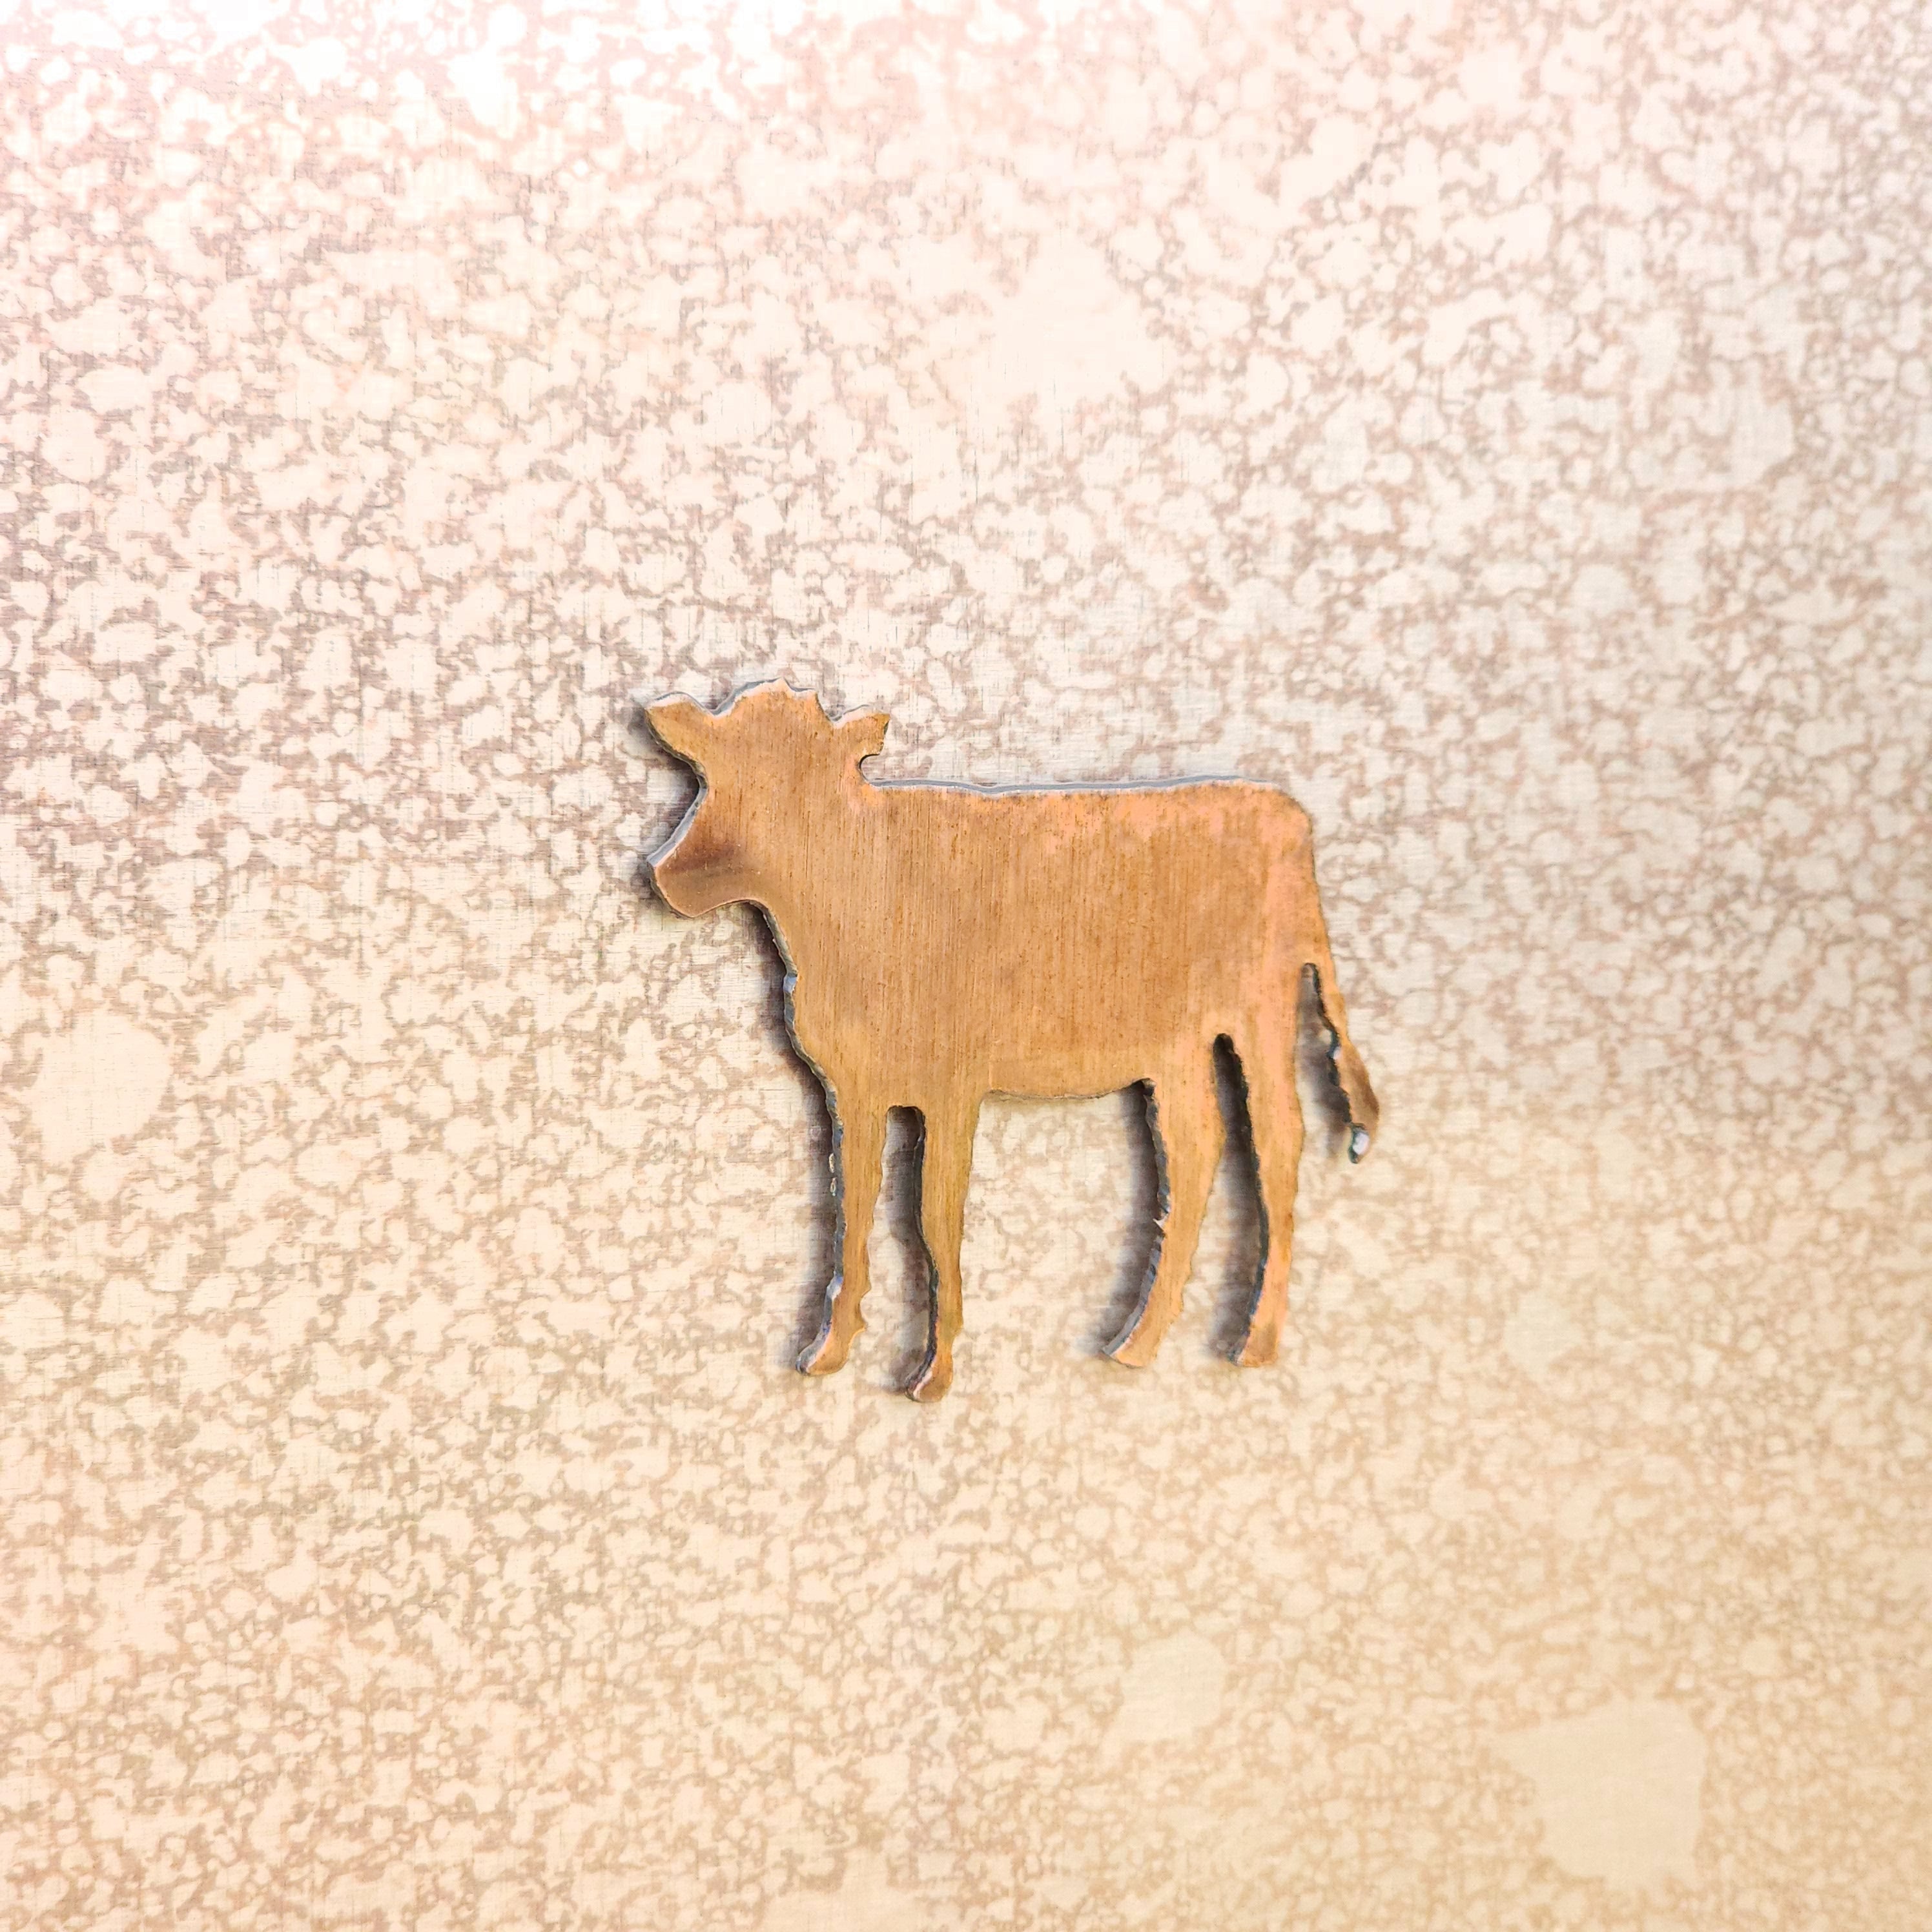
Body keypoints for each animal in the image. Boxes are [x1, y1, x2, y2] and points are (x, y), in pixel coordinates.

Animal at [643, 680, 1378, 1402]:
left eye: (804, 785)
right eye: (713, 771)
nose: (667, 874)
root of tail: (1284, 812)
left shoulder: (953, 1085)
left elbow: (935, 1216)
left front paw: (933, 1372)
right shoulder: (853, 1086)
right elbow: (852, 1204)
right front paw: (831, 1350)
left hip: (1263, 1010)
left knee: (1276, 1144)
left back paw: (1254, 1341)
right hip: (1177, 1046)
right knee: (1194, 1151)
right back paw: (1139, 1343)